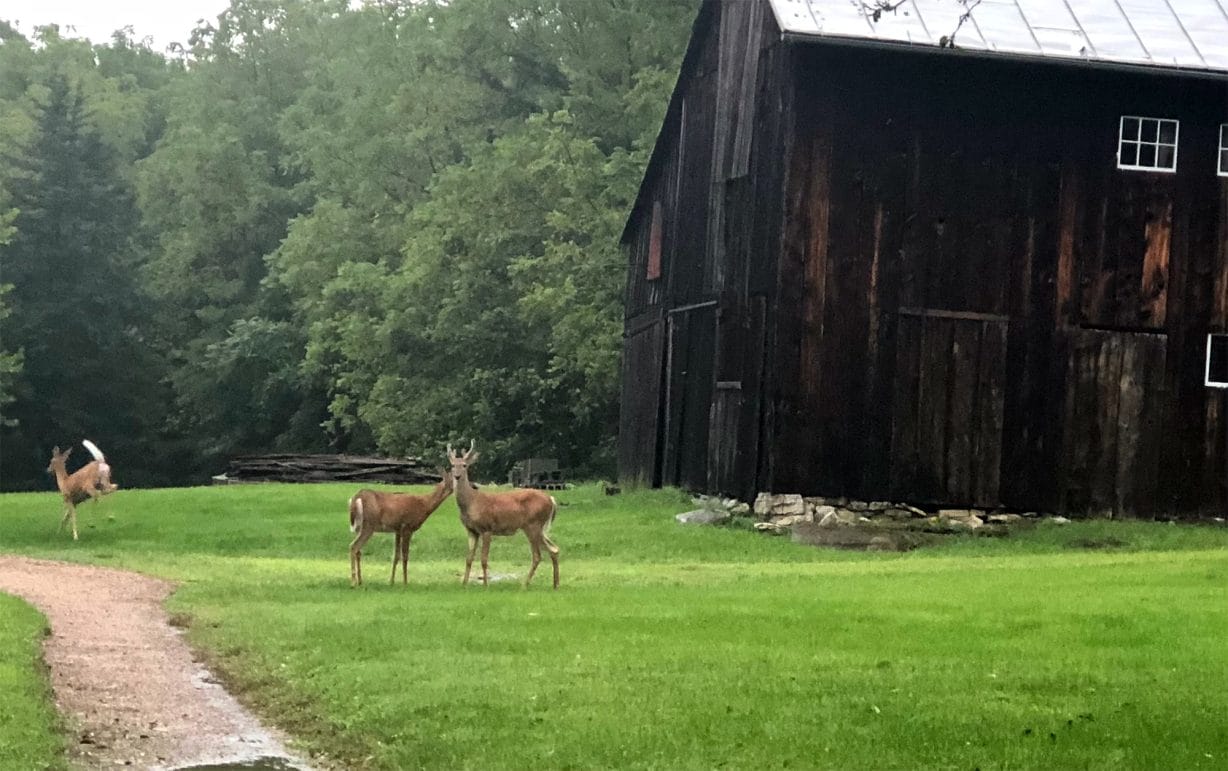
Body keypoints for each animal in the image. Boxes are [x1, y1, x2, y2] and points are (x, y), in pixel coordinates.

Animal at [446, 439, 562, 589]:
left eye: (465, 465)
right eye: (452, 465)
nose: (457, 476)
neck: (471, 502)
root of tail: (551, 500)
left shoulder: (487, 528)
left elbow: (484, 559)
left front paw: (485, 585)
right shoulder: (471, 531)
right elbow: (469, 558)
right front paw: (464, 584)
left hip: (533, 525)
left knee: (537, 555)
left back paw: (525, 584)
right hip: (538, 528)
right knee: (554, 549)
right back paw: (555, 584)